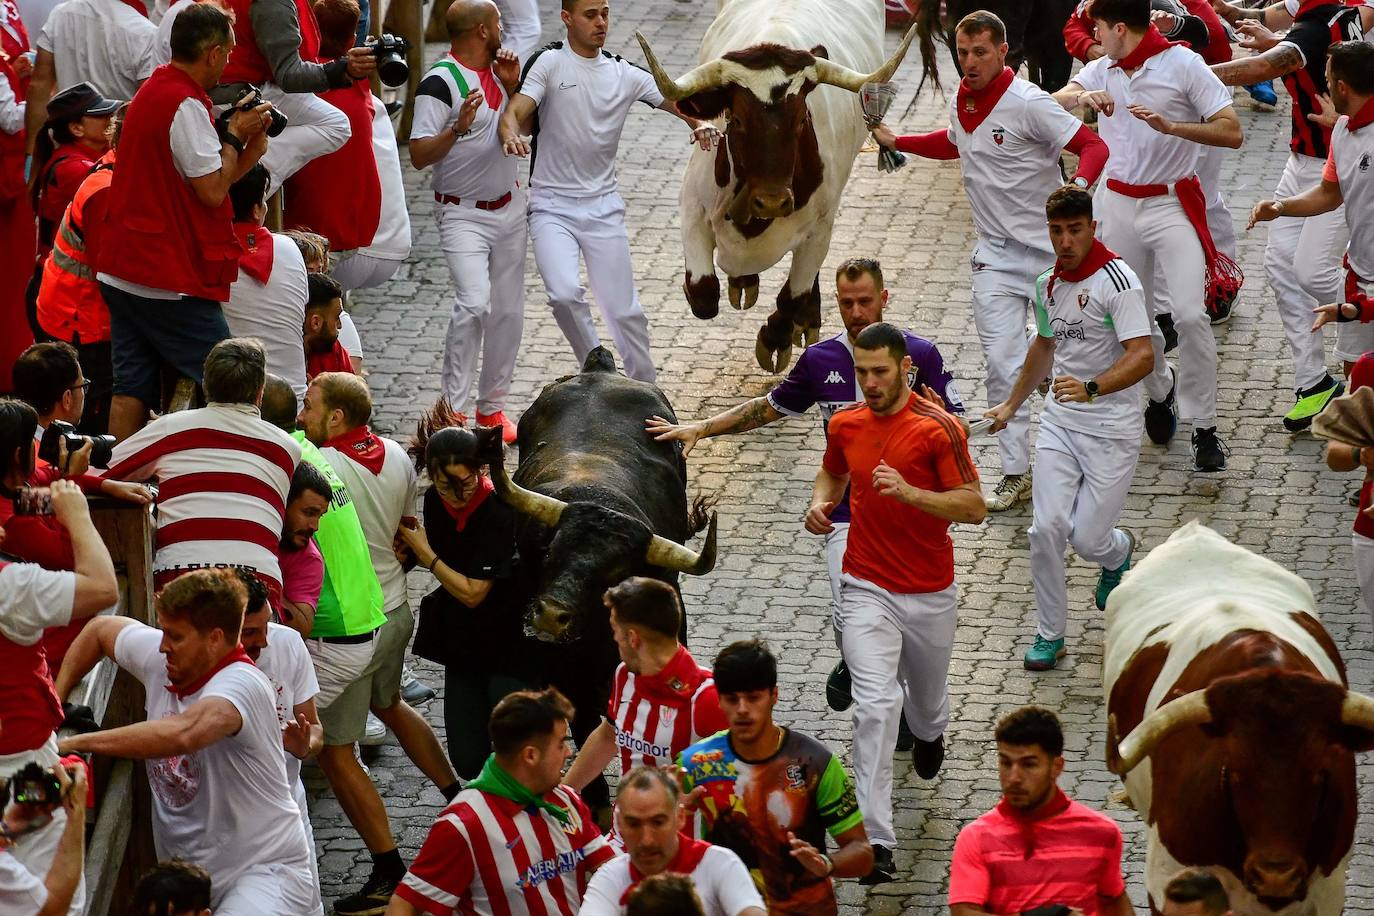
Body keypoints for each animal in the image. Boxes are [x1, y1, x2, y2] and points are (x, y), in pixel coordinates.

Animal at [637, 1, 917, 373]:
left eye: (801, 119)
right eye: (737, 120)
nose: (772, 201)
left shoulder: (820, 228)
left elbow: (792, 297)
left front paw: (776, 338)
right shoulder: (692, 206)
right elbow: (703, 294)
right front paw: (737, 282)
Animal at [1099, 519, 1374, 911]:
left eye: (1319, 774)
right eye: (1235, 772)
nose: (1277, 875)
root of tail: (1196, 533)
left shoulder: (1330, 890)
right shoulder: (1165, 879)